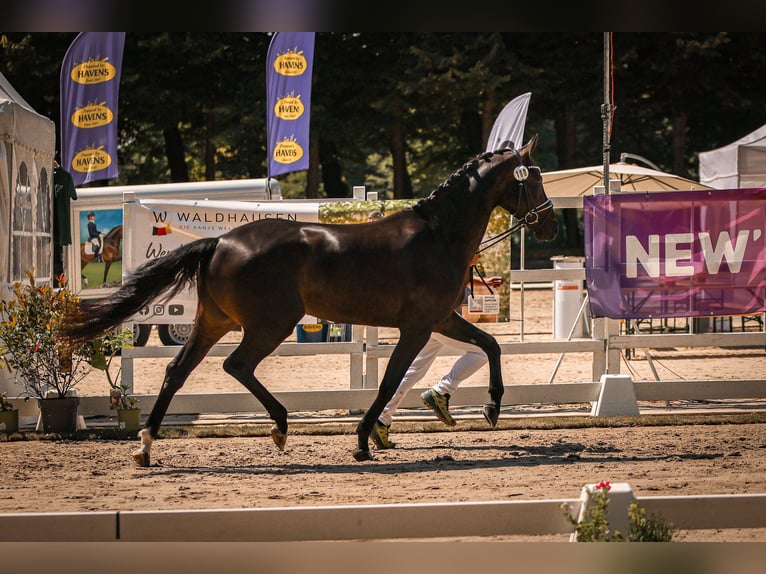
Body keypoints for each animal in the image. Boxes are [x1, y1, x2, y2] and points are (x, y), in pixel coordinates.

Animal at [61, 137, 560, 466]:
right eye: (534, 178)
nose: (549, 223)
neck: (439, 235)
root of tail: (221, 241)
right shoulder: (420, 326)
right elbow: (388, 383)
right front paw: (362, 441)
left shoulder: (441, 320)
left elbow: (490, 345)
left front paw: (492, 408)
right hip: (270, 324)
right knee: (236, 365)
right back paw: (280, 427)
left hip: (213, 321)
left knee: (177, 371)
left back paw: (146, 446)